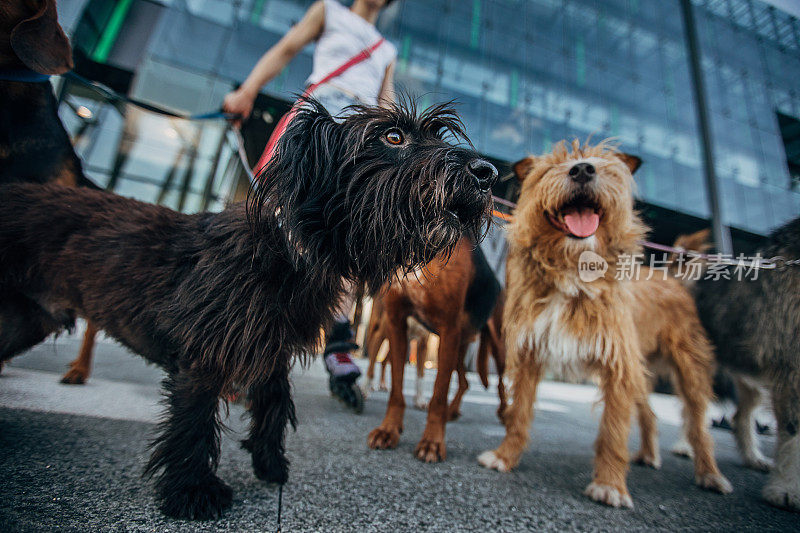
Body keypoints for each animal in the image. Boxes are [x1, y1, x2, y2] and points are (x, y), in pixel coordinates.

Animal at [368, 234, 506, 462]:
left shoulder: (448, 328)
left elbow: (438, 395)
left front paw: (432, 442)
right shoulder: (396, 322)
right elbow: (396, 390)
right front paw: (388, 430)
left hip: (497, 348)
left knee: (502, 384)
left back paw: (505, 413)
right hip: (459, 349)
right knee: (465, 383)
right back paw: (453, 412)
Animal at [478, 140, 736, 508]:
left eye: (602, 163)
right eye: (554, 165)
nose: (583, 169)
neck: (573, 269)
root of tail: (672, 279)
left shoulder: (618, 367)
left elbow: (613, 432)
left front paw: (610, 485)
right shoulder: (530, 357)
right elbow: (519, 415)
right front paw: (505, 456)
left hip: (689, 371)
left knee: (698, 426)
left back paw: (710, 474)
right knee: (650, 415)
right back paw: (648, 454)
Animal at [692, 216, 800, 512]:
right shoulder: (791, 369)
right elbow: (793, 433)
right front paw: (786, 488)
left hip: (752, 381)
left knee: (740, 416)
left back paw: (753, 457)